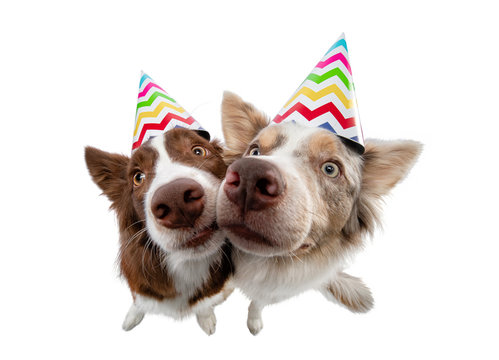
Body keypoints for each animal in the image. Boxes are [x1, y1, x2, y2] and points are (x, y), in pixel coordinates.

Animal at [85, 128, 233, 334]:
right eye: (138, 177)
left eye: (199, 151)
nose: (176, 200)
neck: (186, 263)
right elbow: (139, 301)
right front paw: (133, 316)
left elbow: (204, 304)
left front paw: (206, 318)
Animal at [217, 93, 424, 334]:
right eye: (255, 151)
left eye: (330, 169)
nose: (249, 176)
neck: (266, 263)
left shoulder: (274, 290)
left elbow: (257, 303)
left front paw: (254, 321)